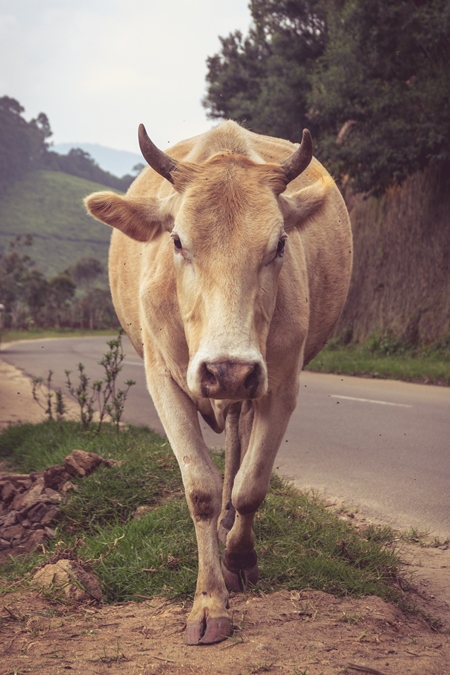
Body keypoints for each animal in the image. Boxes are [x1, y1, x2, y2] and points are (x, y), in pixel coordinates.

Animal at [83, 120, 352, 644]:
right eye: (177, 241)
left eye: (280, 244)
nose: (228, 368)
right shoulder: (164, 382)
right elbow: (201, 491)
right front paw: (209, 602)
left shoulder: (280, 384)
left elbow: (252, 484)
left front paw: (240, 560)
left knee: (239, 444)